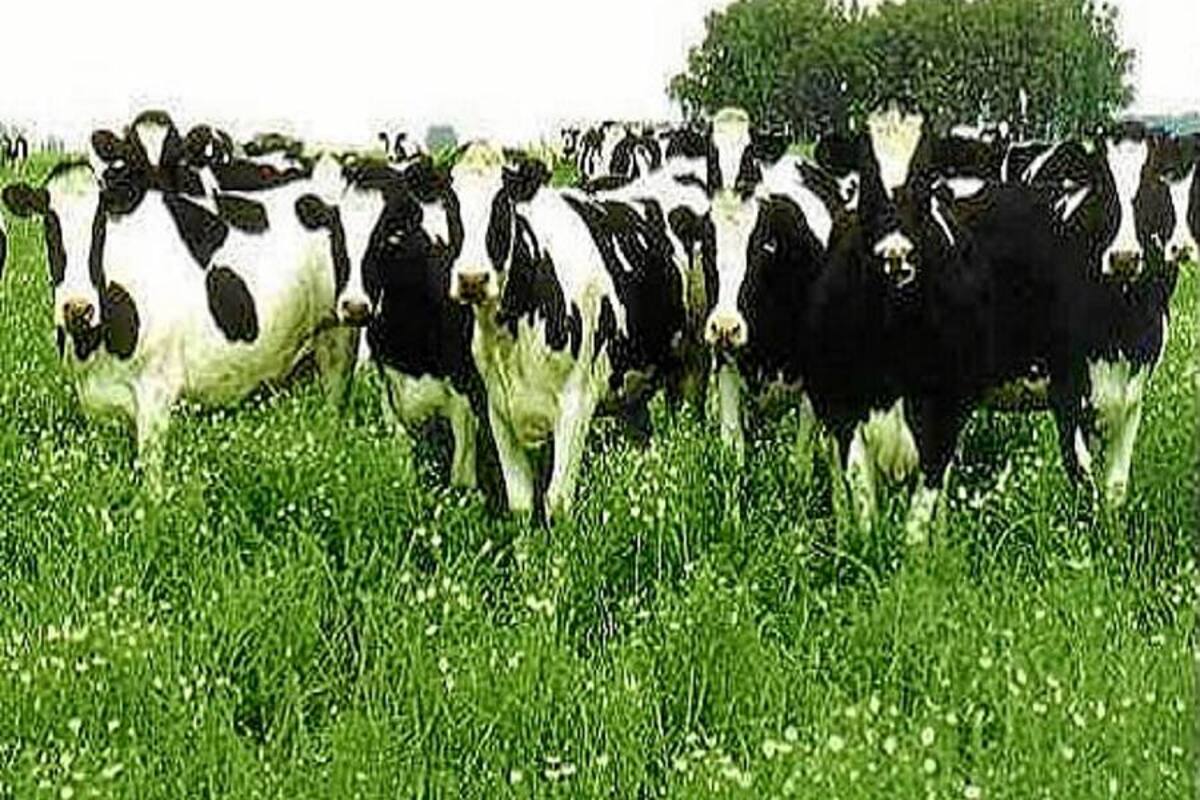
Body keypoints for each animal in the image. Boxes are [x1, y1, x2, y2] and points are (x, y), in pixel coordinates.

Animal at [1, 112, 358, 484]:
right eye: (50, 225)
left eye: (101, 225)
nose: (78, 308)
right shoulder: (96, 405)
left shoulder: (156, 399)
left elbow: (152, 487)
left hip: (339, 344)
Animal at [446, 142, 687, 520]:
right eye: (449, 206)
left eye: (502, 205)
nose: (472, 279)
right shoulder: (498, 406)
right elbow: (520, 501)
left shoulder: (577, 401)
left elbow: (557, 499)